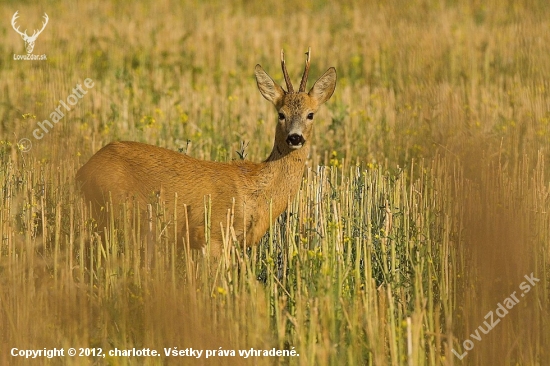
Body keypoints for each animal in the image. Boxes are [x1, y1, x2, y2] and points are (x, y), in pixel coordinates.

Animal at [76, 48, 336, 254]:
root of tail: (83, 170)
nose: (295, 137)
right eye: (281, 114)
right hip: (117, 212)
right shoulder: (211, 234)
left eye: (311, 114)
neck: (255, 190)